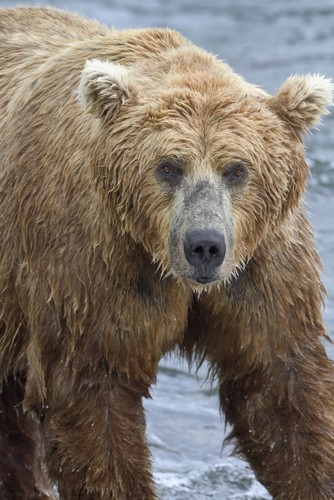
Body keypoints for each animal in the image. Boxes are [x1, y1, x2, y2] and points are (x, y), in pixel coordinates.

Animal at [0, 4, 332, 500]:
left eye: (237, 169)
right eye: (169, 167)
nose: (204, 245)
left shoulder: (263, 267)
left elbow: (280, 391)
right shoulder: (89, 264)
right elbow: (96, 399)